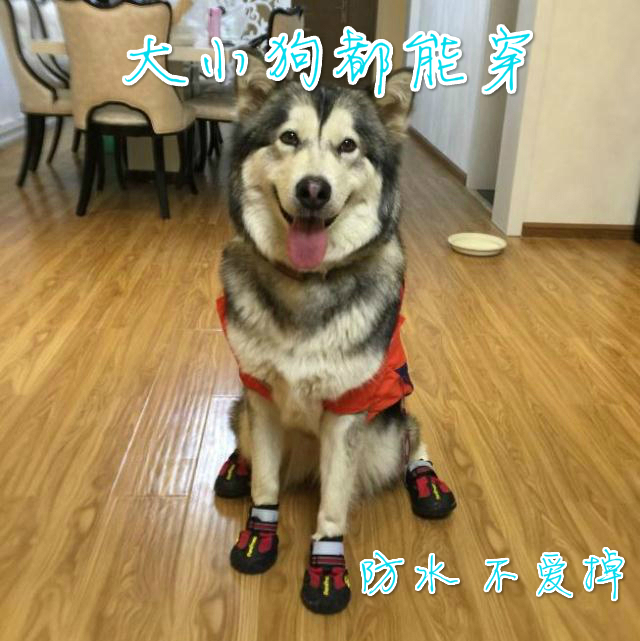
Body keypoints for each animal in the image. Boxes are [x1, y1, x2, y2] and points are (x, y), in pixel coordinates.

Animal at [214, 54, 456, 615]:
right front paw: (259, 535)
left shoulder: (348, 410)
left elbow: (333, 504)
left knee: (411, 438)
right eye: (288, 138)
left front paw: (327, 567)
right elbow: (265, 484)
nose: (313, 189)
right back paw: (235, 467)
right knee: (244, 437)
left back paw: (427, 481)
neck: (306, 282)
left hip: (387, 426)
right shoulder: (260, 394)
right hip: (244, 411)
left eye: (349, 146)